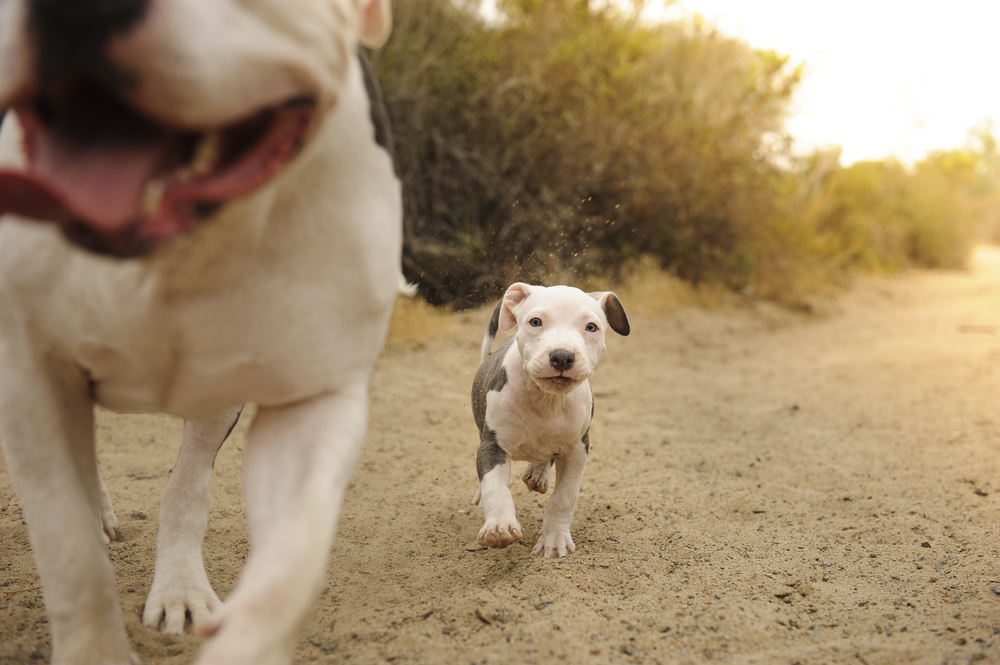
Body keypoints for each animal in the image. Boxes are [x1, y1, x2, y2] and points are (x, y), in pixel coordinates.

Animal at [470, 282, 628, 556]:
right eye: (535, 322)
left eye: (591, 327)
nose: (562, 356)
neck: (545, 399)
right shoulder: (494, 445)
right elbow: (495, 487)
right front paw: (499, 526)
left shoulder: (577, 449)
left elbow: (564, 497)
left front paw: (554, 539)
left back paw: (537, 472)